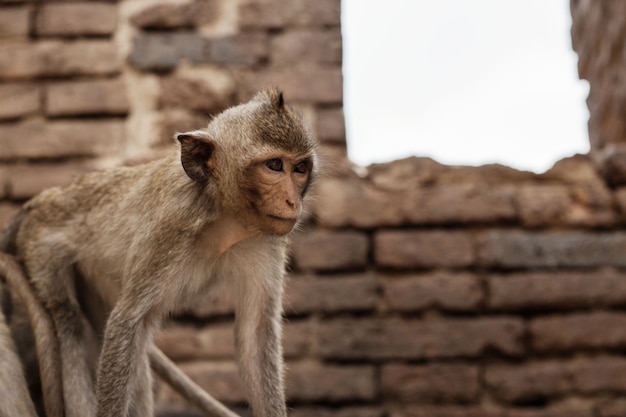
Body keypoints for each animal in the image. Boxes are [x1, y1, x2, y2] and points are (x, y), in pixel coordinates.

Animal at [3, 89, 316, 416]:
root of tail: (40, 201)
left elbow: (255, 337)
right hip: (41, 247)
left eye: (300, 168)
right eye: (275, 165)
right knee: (69, 320)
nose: (293, 201)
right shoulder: (169, 226)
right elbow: (126, 323)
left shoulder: (268, 239)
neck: (222, 213)